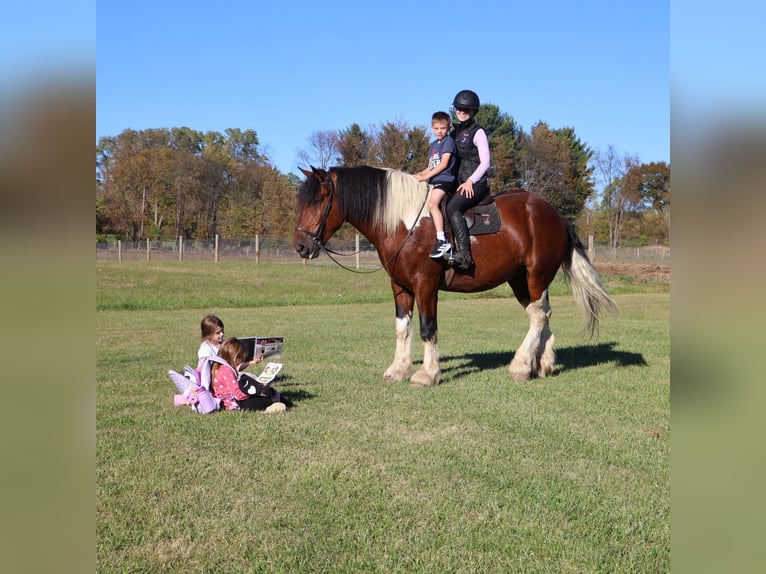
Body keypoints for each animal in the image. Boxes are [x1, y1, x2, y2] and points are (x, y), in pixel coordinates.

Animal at [293, 165, 617, 387]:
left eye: (319, 202)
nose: (301, 246)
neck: (406, 222)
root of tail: (556, 216)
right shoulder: (400, 286)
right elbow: (402, 329)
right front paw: (398, 369)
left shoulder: (425, 285)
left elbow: (427, 329)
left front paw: (427, 373)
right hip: (523, 281)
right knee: (542, 315)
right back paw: (543, 364)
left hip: (535, 276)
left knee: (538, 316)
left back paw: (521, 366)